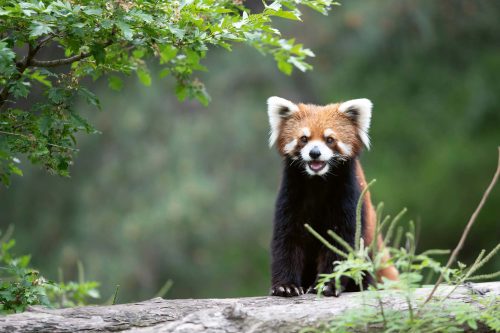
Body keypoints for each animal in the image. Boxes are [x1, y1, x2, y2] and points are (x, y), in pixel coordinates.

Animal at [266, 96, 398, 296]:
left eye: (329, 139)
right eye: (304, 139)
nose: (314, 153)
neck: (318, 182)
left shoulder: (349, 195)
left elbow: (340, 241)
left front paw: (327, 284)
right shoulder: (291, 194)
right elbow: (287, 239)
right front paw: (285, 286)